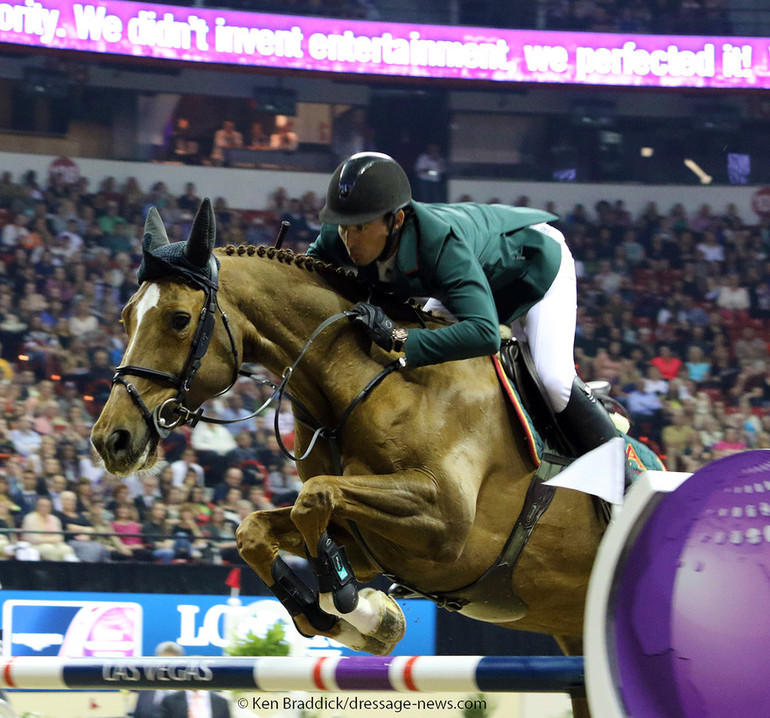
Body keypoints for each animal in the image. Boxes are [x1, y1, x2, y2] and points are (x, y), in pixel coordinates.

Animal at [91, 202, 608, 718]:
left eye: (179, 318)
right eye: (125, 318)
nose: (111, 439)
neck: (371, 380)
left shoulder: (447, 526)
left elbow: (314, 497)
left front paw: (357, 606)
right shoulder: (365, 540)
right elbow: (257, 530)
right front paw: (347, 616)